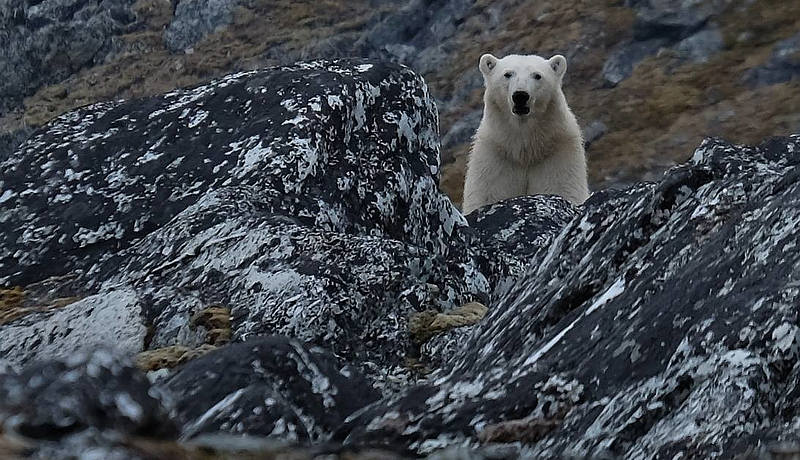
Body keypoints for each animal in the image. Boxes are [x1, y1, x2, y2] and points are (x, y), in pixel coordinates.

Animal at [462, 53, 588, 215]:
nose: (520, 95)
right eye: (507, 74)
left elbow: (559, 186)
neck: (525, 149)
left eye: (537, 75)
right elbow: (488, 192)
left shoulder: (558, 155)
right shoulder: (495, 157)